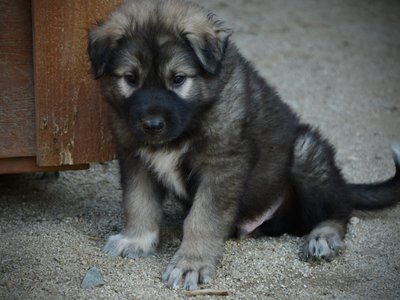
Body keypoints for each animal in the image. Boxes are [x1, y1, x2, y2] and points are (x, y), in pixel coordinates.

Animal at [88, 0, 400, 290]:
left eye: (178, 79)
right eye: (130, 79)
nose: (152, 125)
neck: (193, 118)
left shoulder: (222, 165)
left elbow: (202, 218)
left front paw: (191, 264)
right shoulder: (135, 158)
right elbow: (138, 202)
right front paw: (136, 239)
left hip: (305, 153)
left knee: (339, 209)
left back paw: (323, 237)